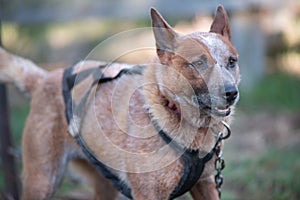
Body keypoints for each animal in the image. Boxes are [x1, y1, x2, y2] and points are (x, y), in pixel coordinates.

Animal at [0, 5, 239, 200]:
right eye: (198, 64)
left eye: (231, 62)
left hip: (104, 183)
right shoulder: (148, 193)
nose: (231, 93)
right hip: (43, 179)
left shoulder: (205, 184)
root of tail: (42, 78)